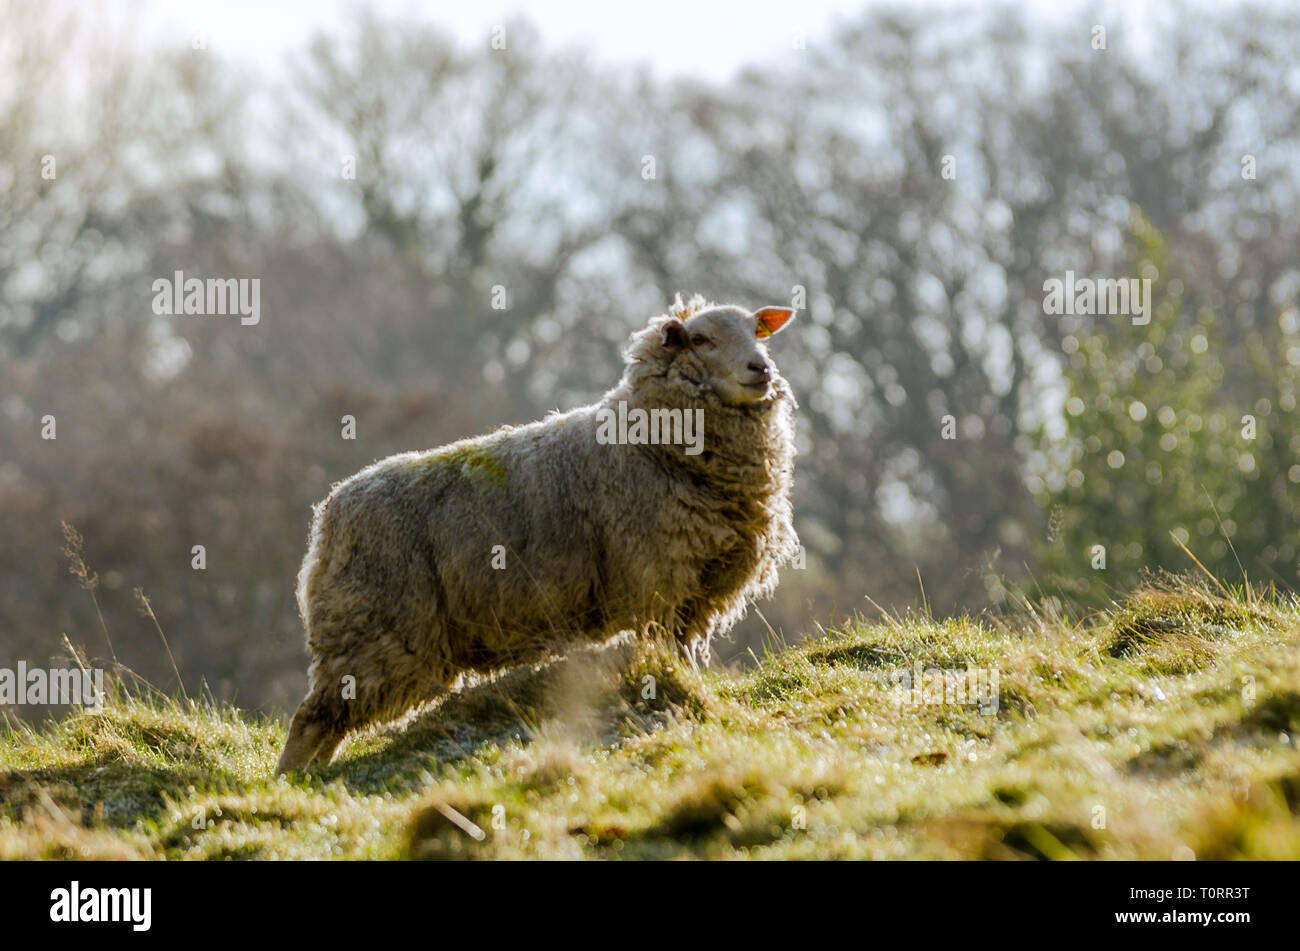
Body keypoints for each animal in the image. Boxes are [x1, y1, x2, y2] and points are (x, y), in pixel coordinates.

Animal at [275, 295, 800, 773]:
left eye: (756, 331)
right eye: (701, 339)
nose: (762, 368)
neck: (653, 441)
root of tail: (328, 516)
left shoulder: (694, 592)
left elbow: (682, 655)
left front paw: (690, 689)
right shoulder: (657, 583)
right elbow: (667, 653)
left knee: (331, 720)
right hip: (374, 629)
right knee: (312, 717)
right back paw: (290, 780)